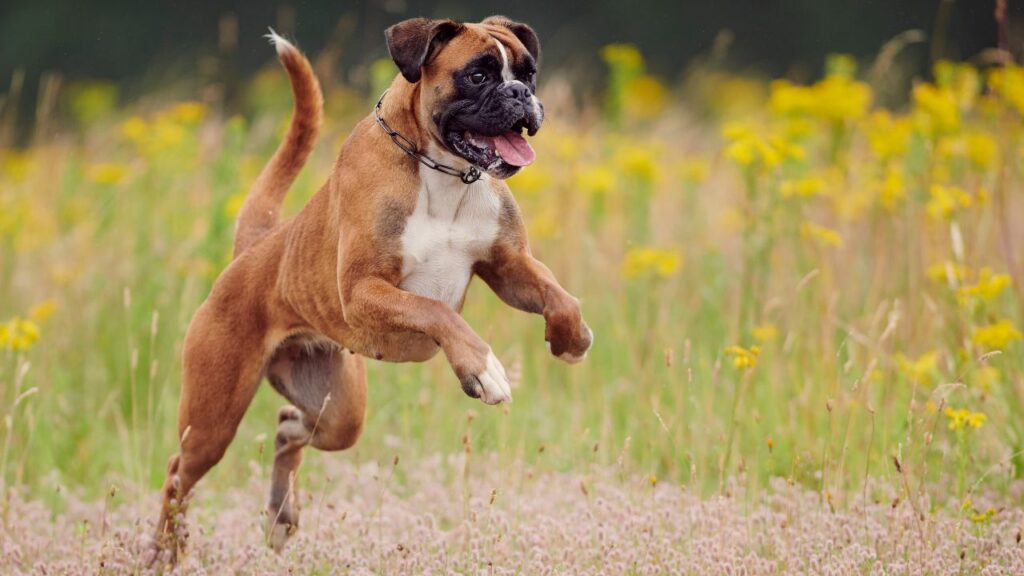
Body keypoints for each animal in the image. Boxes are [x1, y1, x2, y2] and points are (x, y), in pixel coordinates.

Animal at [147, 14, 589, 561]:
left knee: (290, 428)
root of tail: (255, 249)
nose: (521, 94)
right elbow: (438, 313)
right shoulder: (363, 291)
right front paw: (482, 370)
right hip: (213, 418)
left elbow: (558, 295)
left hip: (338, 409)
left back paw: (280, 518)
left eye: (528, 73)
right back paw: (165, 551)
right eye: (478, 75)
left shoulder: (508, 266)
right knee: (177, 475)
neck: (443, 171)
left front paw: (571, 338)